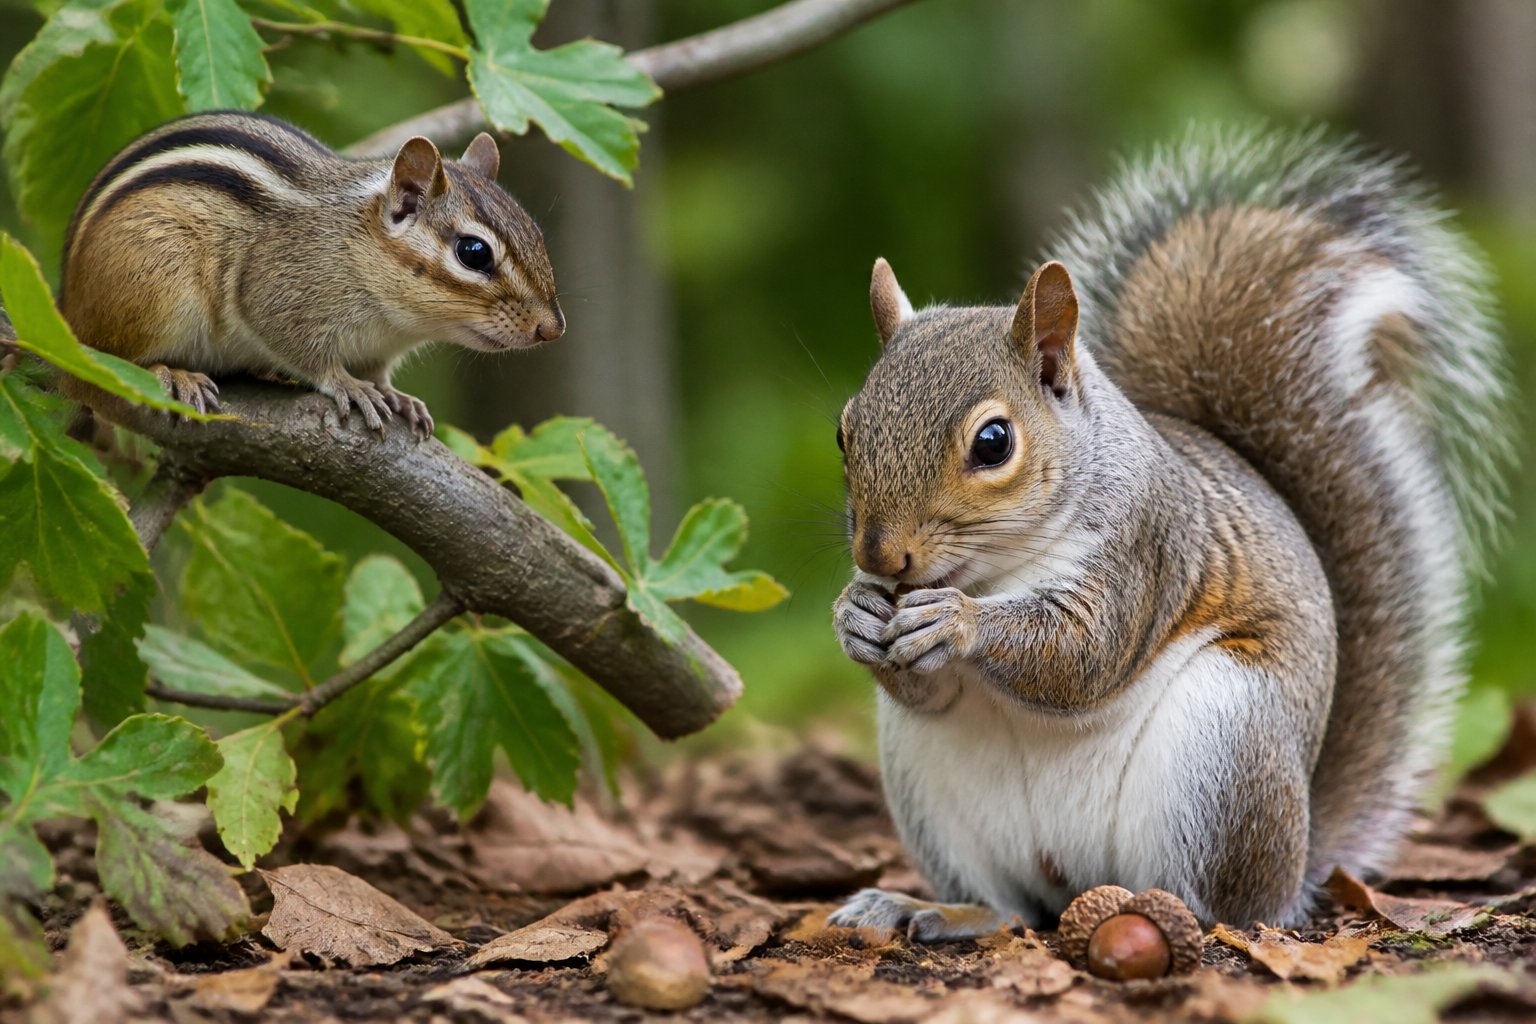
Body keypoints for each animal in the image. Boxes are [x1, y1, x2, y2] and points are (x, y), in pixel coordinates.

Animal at [58, 110, 564, 436]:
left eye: (538, 234)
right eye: (474, 253)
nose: (552, 329)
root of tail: (65, 306)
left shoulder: (377, 348)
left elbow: (380, 374)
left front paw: (396, 395)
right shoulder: (276, 292)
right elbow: (304, 350)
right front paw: (348, 385)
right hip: (153, 286)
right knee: (112, 354)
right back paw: (174, 374)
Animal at [827, 128, 1510, 937]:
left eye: (993, 443)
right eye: (844, 432)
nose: (879, 555)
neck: (996, 570)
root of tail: (1297, 866)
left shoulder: (1145, 549)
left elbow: (1083, 654)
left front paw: (955, 623)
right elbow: (925, 689)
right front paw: (855, 614)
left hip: (1221, 749)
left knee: (1218, 908)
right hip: (930, 790)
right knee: (1011, 907)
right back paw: (935, 908)